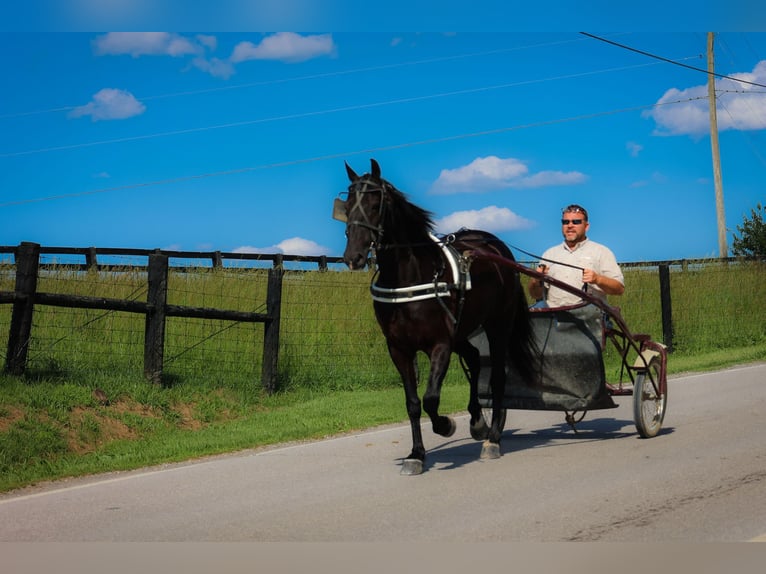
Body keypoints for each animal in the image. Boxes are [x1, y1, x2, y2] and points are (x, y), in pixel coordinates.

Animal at [334, 158, 538, 475]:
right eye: (348, 203)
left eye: (376, 203)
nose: (353, 256)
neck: (408, 280)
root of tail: (494, 246)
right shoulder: (399, 349)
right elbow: (413, 403)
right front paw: (416, 454)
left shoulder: (440, 344)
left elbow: (431, 399)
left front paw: (446, 425)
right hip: (463, 329)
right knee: (474, 359)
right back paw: (478, 423)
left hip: (498, 325)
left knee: (498, 376)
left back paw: (492, 437)